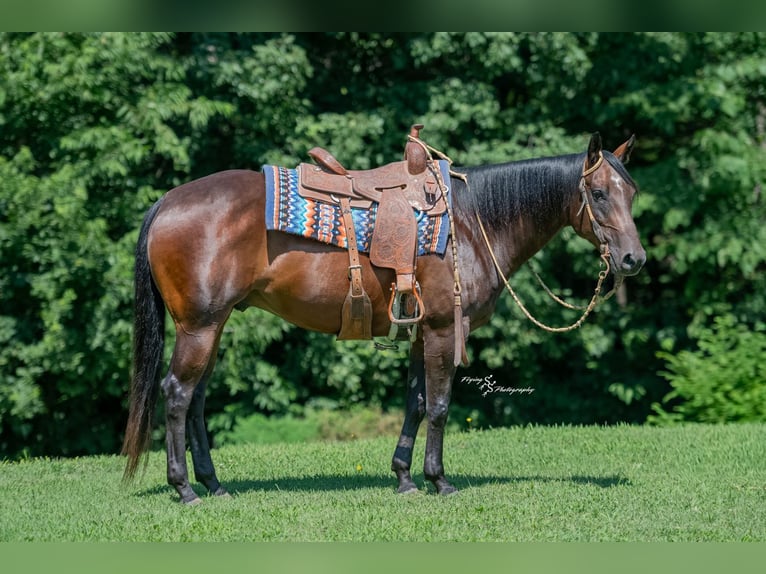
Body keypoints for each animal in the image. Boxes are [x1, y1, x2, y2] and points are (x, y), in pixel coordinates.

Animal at [122, 132, 645, 504]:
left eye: (632, 192)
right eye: (599, 193)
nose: (633, 259)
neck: (472, 224)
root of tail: (167, 201)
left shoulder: (420, 333)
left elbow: (415, 403)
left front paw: (404, 477)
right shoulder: (442, 330)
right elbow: (439, 406)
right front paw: (439, 481)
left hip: (213, 326)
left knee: (197, 401)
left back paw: (213, 484)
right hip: (199, 326)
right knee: (177, 394)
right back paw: (185, 488)